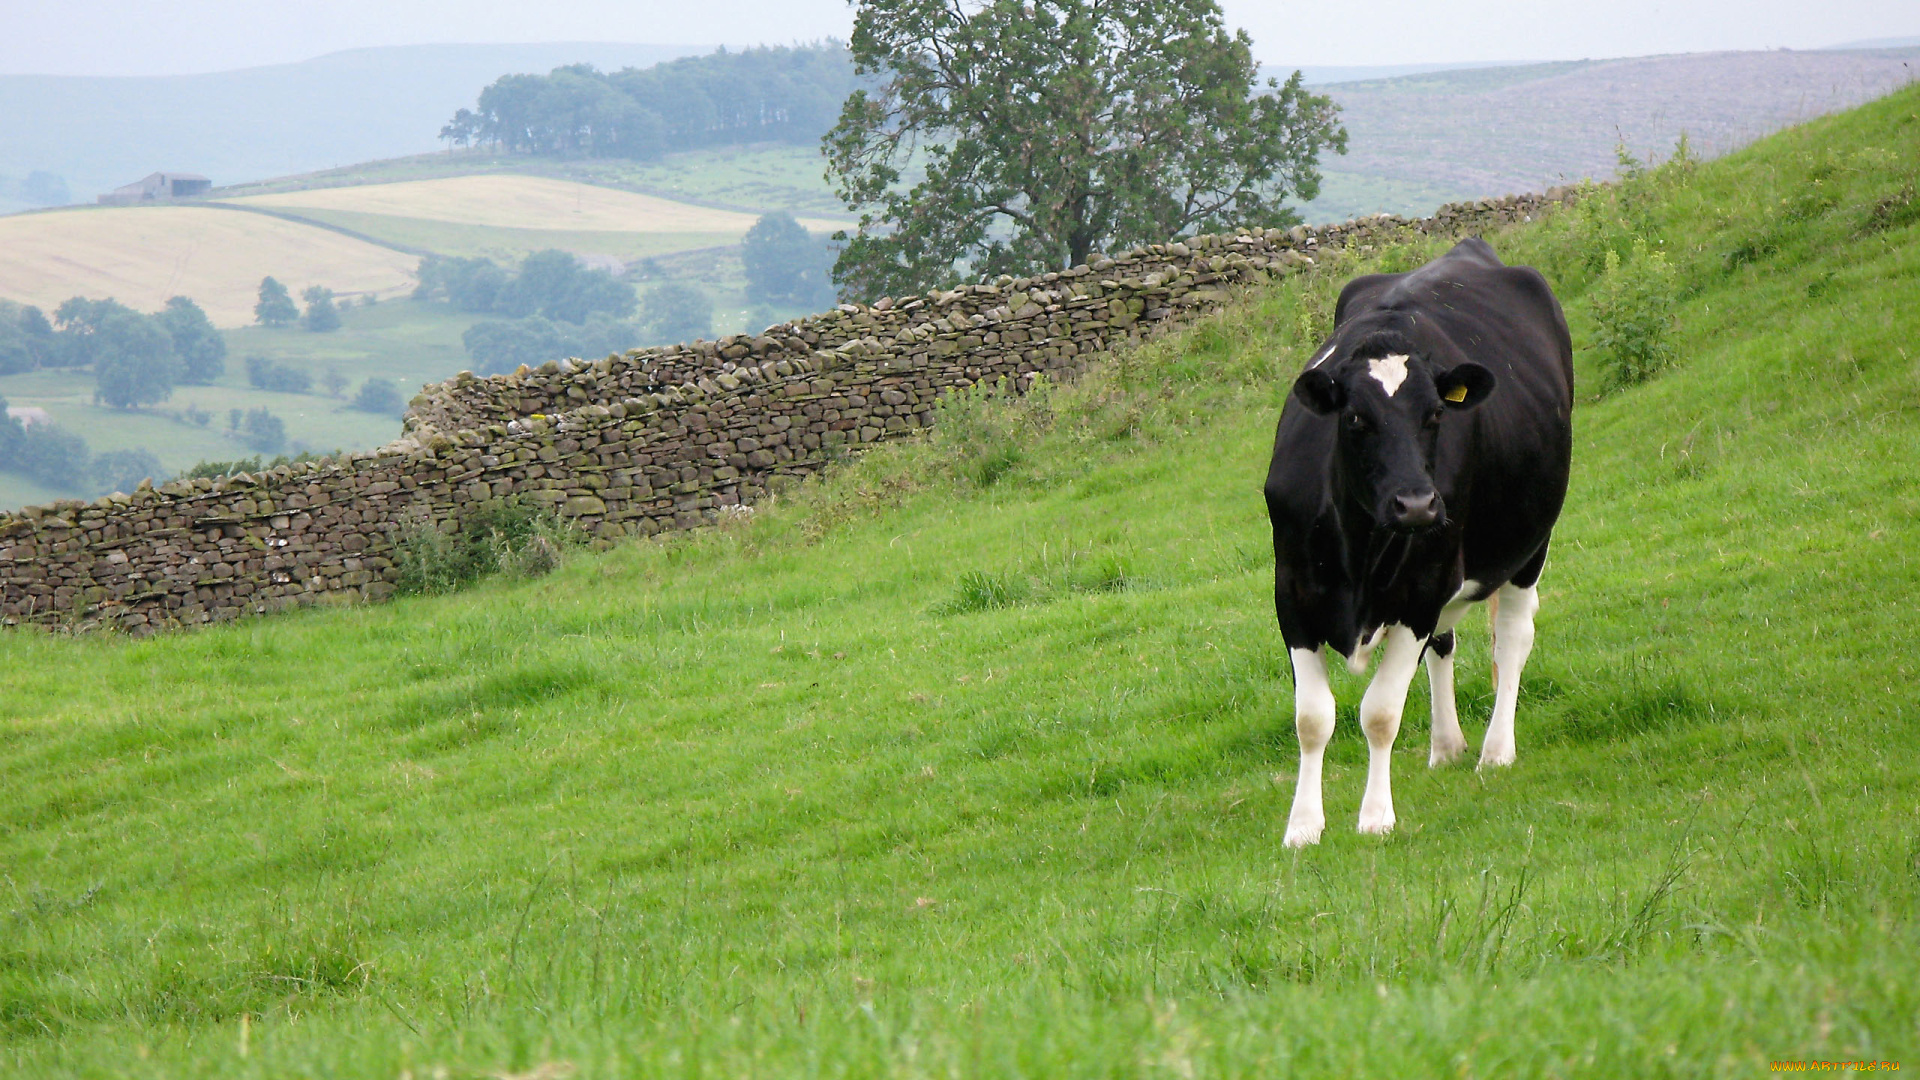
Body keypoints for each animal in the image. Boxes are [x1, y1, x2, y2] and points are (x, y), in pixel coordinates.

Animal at [1267, 233, 1566, 841]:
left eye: (1434, 416)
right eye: (1355, 418)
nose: (1417, 504)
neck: (1358, 548)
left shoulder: (1421, 591)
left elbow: (1380, 712)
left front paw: (1375, 817)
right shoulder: (1293, 596)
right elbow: (1312, 718)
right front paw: (1303, 827)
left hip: (1529, 542)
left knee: (1512, 636)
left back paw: (1496, 750)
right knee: (1445, 645)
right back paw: (1447, 745)